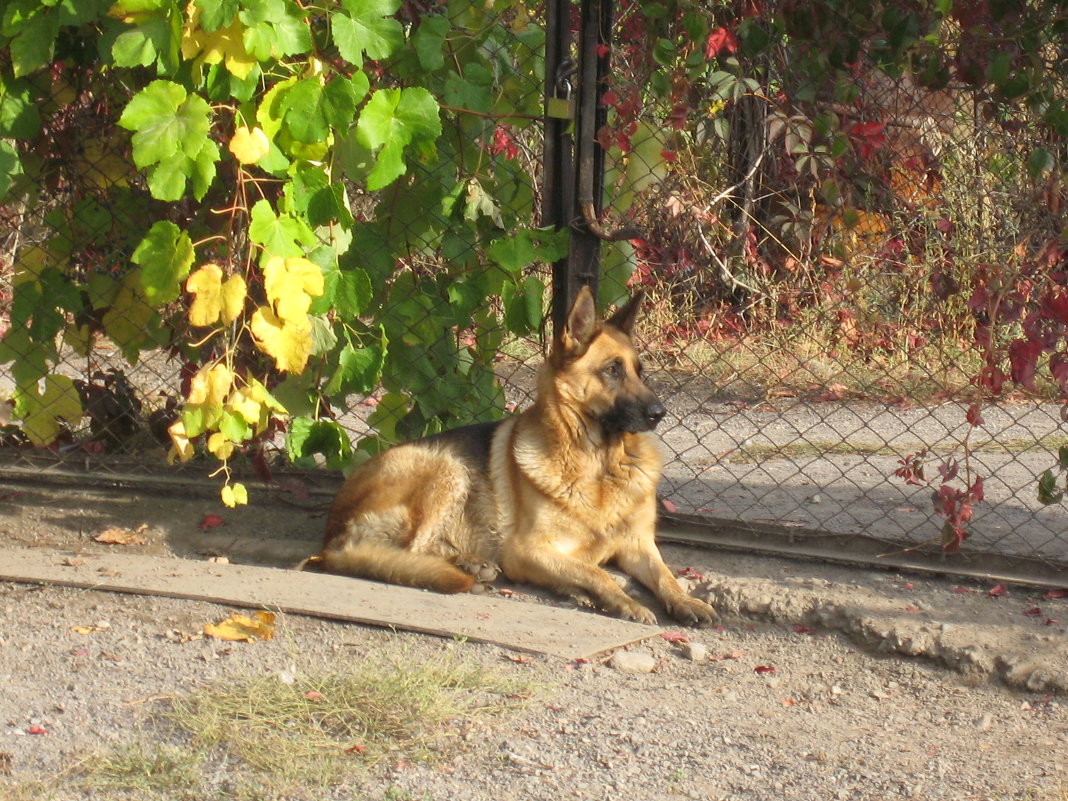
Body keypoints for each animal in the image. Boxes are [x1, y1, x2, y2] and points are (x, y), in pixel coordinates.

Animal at [313, 286, 717, 627]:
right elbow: (597, 572)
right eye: (612, 370)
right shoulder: (528, 550)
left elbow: (665, 575)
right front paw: (624, 601)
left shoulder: (638, 545)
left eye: (639, 371)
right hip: (446, 467)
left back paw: (474, 565)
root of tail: (331, 538)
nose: (659, 413)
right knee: (410, 550)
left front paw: (686, 602)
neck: (598, 465)